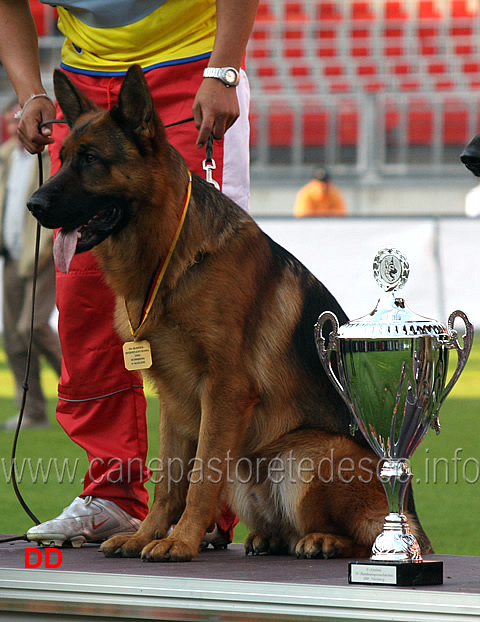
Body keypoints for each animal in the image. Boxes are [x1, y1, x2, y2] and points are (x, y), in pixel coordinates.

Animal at [27, 66, 432, 564]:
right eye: (62, 157)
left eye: (90, 159)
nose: (33, 206)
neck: (174, 256)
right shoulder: (174, 398)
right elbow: (169, 481)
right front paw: (147, 535)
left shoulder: (224, 389)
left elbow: (201, 476)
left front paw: (179, 541)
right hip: (246, 465)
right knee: (279, 525)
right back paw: (270, 538)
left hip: (307, 456)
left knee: (368, 532)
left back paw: (328, 541)